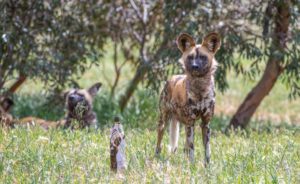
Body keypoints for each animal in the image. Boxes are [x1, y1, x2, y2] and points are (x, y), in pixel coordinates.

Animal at [156, 32, 221, 165]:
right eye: (190, 57)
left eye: (203, 57)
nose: (195, 66)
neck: (200, 88)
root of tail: (172, 77)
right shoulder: (190, 122)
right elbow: (192, 148)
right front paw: (192, 166)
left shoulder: (205, 124)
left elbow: (207, 149)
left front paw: (207, 166)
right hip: (164, 122)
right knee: (159, 142)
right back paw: (156, 157)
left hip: (186, 125)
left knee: (184, 147)